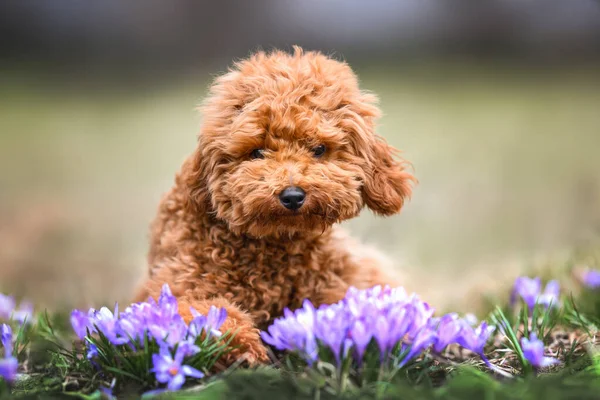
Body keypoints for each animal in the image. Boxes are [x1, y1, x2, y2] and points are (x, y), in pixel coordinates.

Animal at [135, 47, 418, 366]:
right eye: (257, 152)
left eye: (319, 149)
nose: (292, 196)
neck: (277, 245)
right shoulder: (179, 286)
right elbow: (206, 312)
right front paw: (243, 347)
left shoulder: (339, 279)